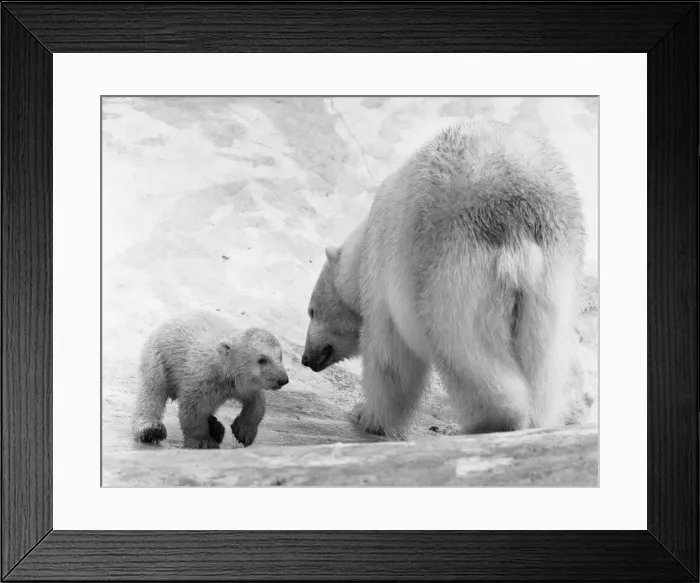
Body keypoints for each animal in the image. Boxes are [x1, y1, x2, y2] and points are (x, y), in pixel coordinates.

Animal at [132, 310, 289, 449]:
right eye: (262, 359)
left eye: (280, 357)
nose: (283, 379)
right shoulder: (202, 378)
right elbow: (193, 408)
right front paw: (203, 441)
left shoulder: (243, 385)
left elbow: (257, 402)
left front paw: (244, 432)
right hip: (160, 359)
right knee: (152, 391)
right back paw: (151, 430)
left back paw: (216, 428)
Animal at [301, 118, 591, 438]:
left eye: (312, 311)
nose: (305, 358)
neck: (364, 243)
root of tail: (516, 221)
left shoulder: (382, 277)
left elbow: (389, 356)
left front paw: (365, 415)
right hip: (556, 273)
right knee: (546, 358)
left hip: (452, 270)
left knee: (464, 349)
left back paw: (488, 422)